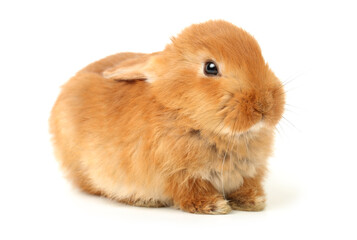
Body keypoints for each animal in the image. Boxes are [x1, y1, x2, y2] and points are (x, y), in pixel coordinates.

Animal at [49, 20, 284, 215]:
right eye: (210, 67)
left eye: (260, 56)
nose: (264, 105)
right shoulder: (179, 175)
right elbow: (190, 191)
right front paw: (214, 206)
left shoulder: (249, 173)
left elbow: (245, 186)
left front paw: (253, 201)